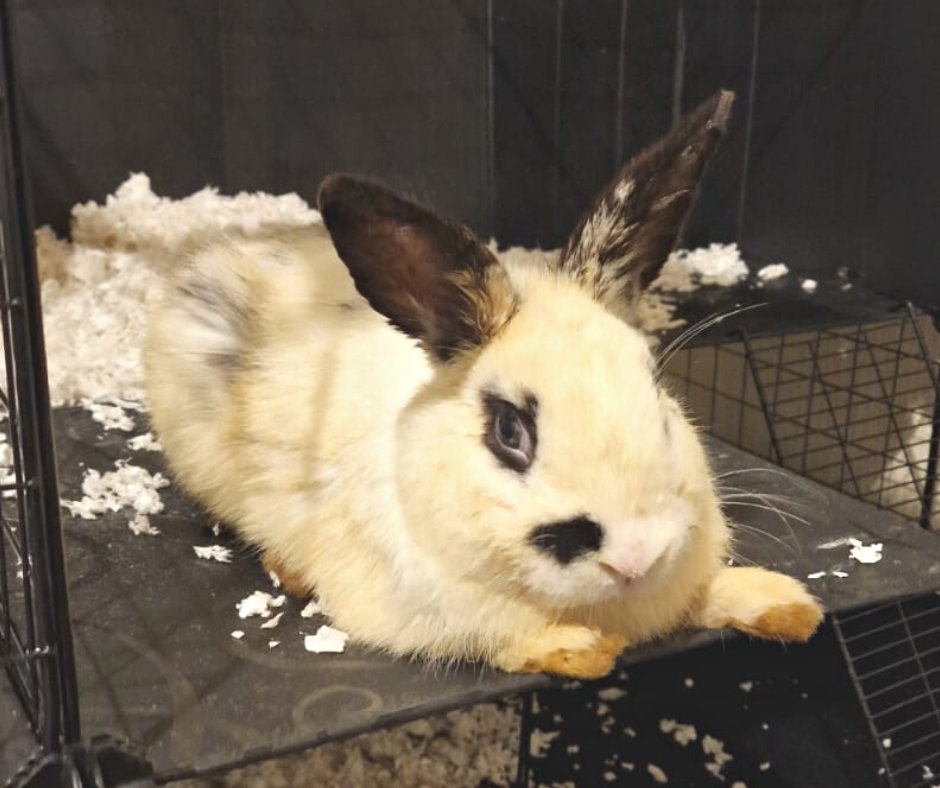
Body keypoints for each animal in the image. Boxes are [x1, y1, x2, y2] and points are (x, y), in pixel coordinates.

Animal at [143, 89, 823, 679]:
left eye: (658, 394)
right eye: (508, 431)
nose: (636, 558)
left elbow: (713, 593)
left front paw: (788, 607)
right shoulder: (439, 615)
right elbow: (502, 640)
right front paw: (583, 650)